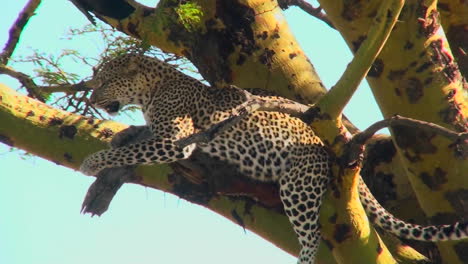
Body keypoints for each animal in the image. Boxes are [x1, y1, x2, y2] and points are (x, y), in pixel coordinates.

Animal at [80, 53, 468, 264]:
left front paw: (91, 162)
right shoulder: (162, 134)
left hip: (299, 185)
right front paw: (121, 135)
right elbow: (135, 137)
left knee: (311, 235)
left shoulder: (176, 142)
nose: (92, 98)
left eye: (106, 81)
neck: (152, 91)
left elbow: (131, 150)